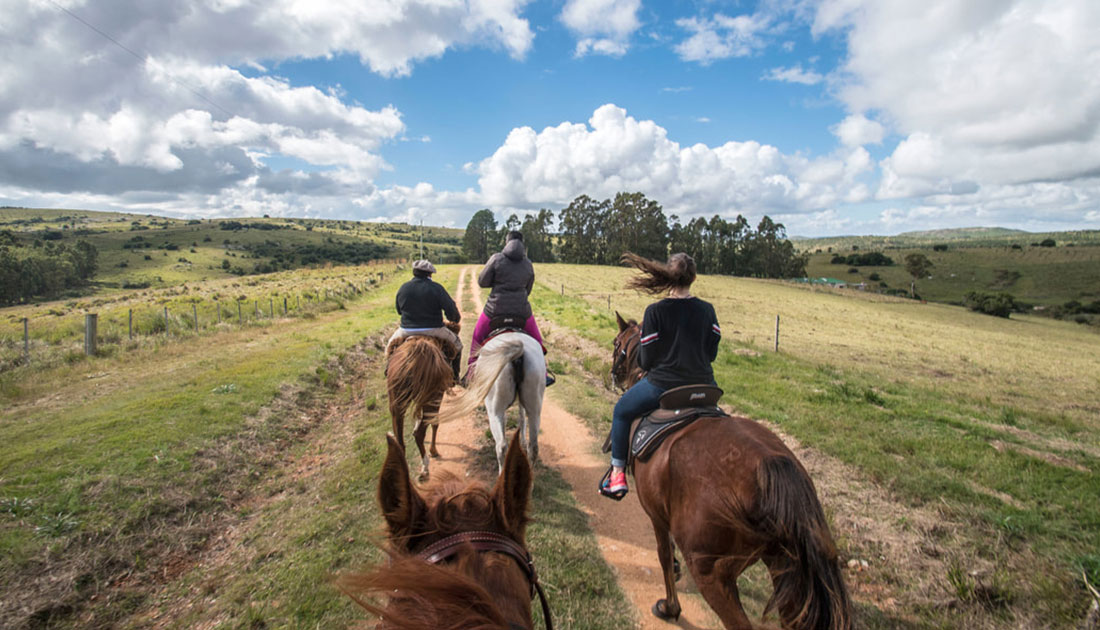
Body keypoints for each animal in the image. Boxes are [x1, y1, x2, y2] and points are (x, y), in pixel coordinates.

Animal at [387, 321, 459, 479]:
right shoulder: (435, 398)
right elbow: (435, 423)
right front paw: (433, 450)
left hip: (397, 402)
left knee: (400, 441)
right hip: (433, 398)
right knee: (420, 433)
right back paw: (425, 466)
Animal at [435, 329, 543, 470]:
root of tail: (518, 353)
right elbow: (521, 416)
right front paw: (523, 442)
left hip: (494, 409)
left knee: (501, 446)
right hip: (535, 406)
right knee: (534, 447)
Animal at [611, 310, 849, 628]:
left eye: (617, 343)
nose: (614, 373)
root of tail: (772, 467)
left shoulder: (656, 513)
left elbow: (663, 554)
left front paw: (671, 606)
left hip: (711, 570)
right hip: (786, 568)